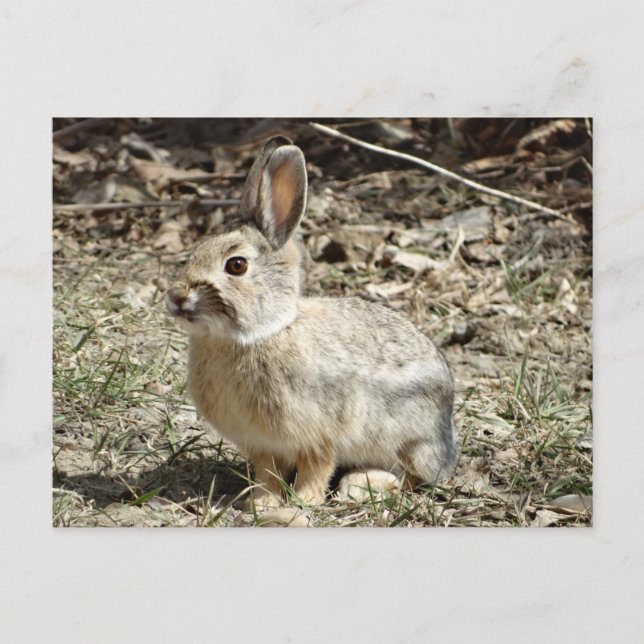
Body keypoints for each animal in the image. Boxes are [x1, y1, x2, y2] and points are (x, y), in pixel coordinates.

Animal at [166, 135, 456, 509]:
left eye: (236, 266)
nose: (176, 297)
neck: (260, 334)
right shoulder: (263, 444)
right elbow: (268, 473)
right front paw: (261, 503)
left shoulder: (321, 434)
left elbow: (317, 467)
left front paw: (304, 501)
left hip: (410, 439)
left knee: (413, 478)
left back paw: (366, 483)